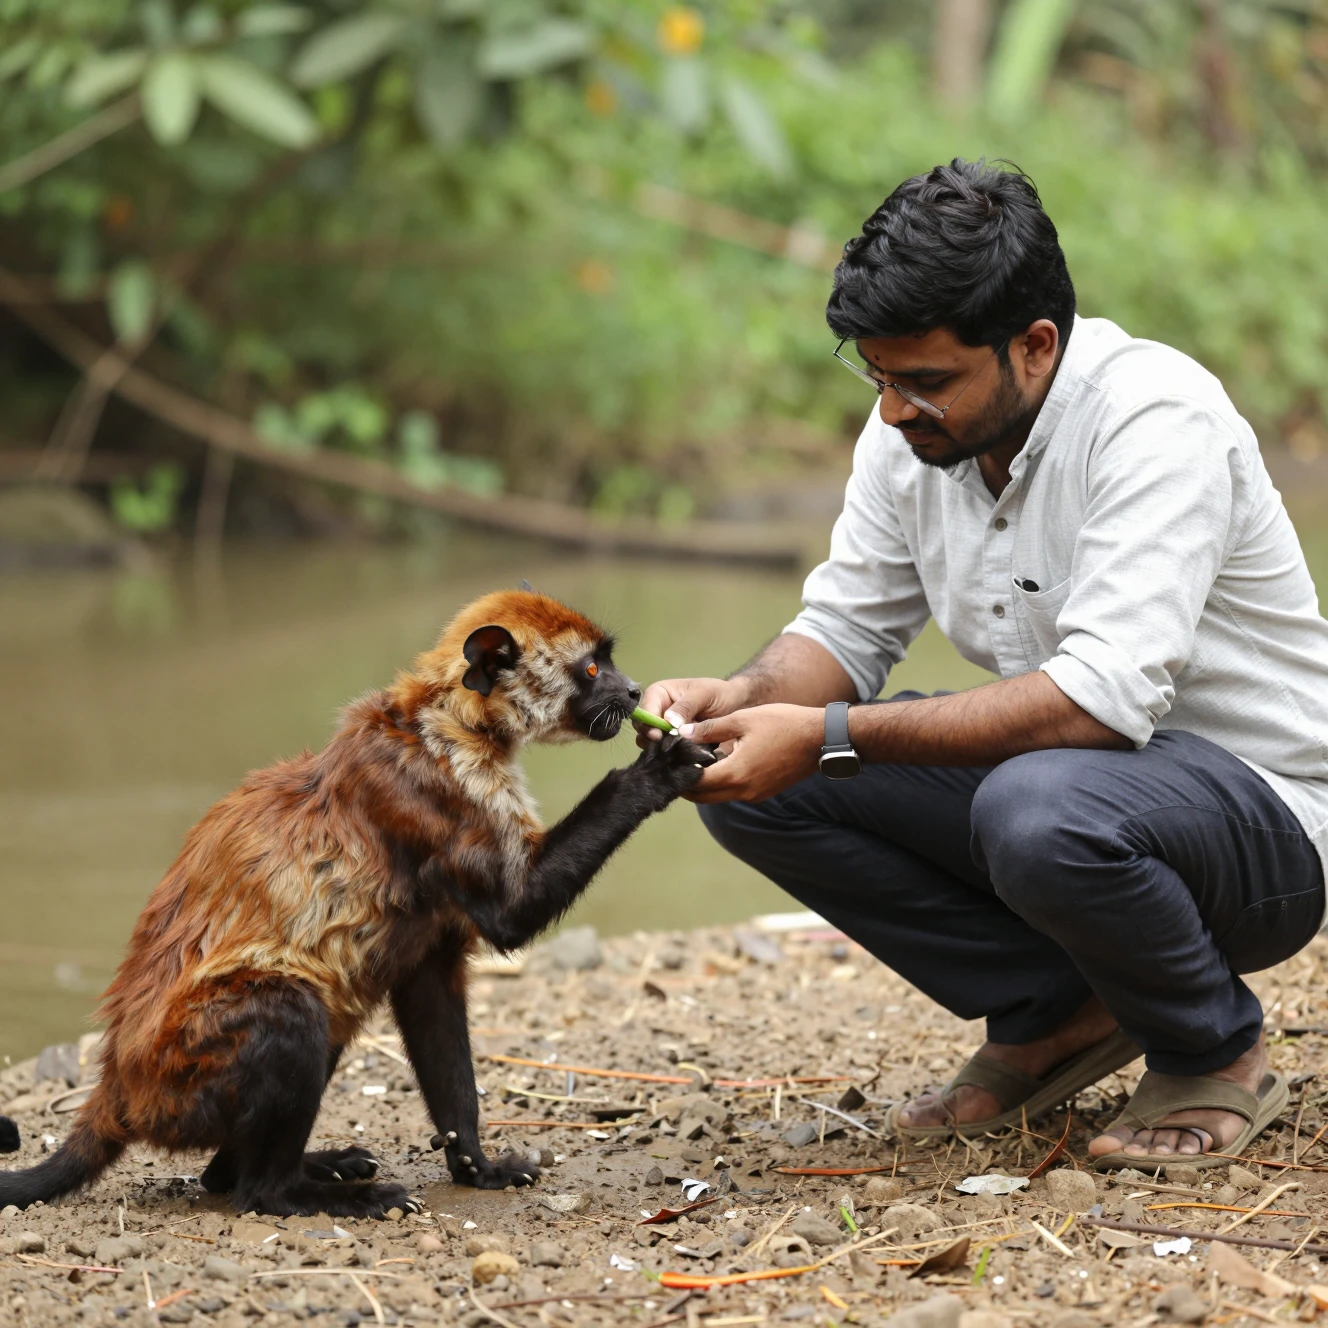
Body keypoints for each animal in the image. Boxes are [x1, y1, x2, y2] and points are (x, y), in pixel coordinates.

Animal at [0, 589, 712, 1217]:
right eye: (591, 667)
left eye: (610, 663)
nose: (634, 692)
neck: (445, 725)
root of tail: (118, 1089)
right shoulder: (442, 822)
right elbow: (516, 908)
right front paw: (663, 766)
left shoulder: (431, 958)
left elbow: (452, 1077)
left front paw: (477, 1169)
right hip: (274, 1018)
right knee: (256, 1189)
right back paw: (332, 1196)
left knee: (219, 1176)